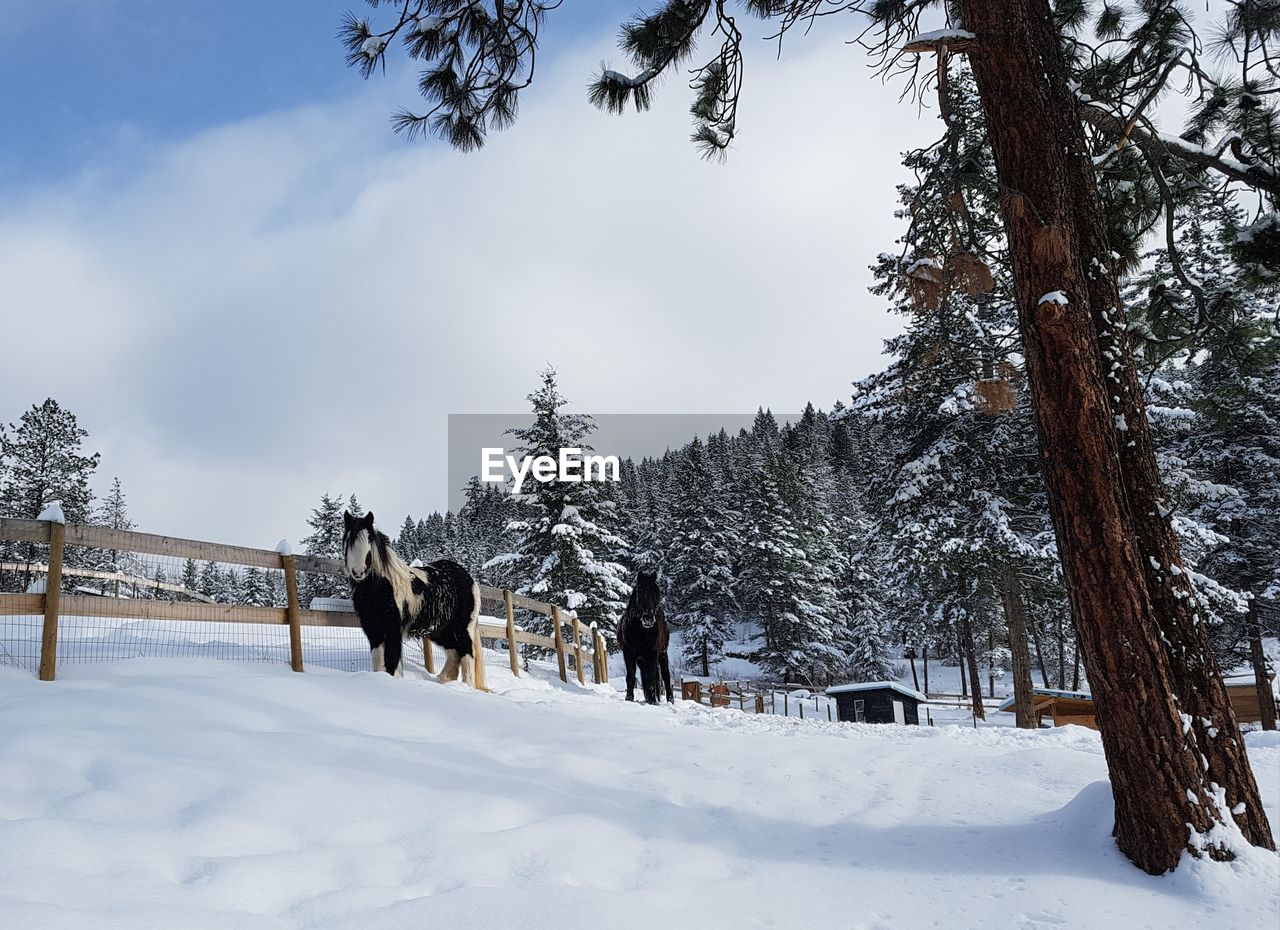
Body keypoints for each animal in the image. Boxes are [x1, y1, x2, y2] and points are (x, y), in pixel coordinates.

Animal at [341, 510, 481, 685]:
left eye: (369, 540)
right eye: (348, 540)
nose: (359, 572)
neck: (382, 585)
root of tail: (469, 578)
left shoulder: (393, 629)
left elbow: (392, 662)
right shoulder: (373, 629)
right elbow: (378, 662)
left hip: (462, 628)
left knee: (467, 655)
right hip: (441, 631)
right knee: (454, 654)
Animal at [618, 570, 673, 704]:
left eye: (656, 593)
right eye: (639, 591)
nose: (648, 618)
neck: (640, 632)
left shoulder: (652, 654)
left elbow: (652, 679)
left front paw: (653, 702)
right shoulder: (628, 653)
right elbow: (631, 677)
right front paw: (629, 699)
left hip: (662, 654)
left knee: (666, 676)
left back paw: (670, 700)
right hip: (641, 660)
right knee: (646, 675)